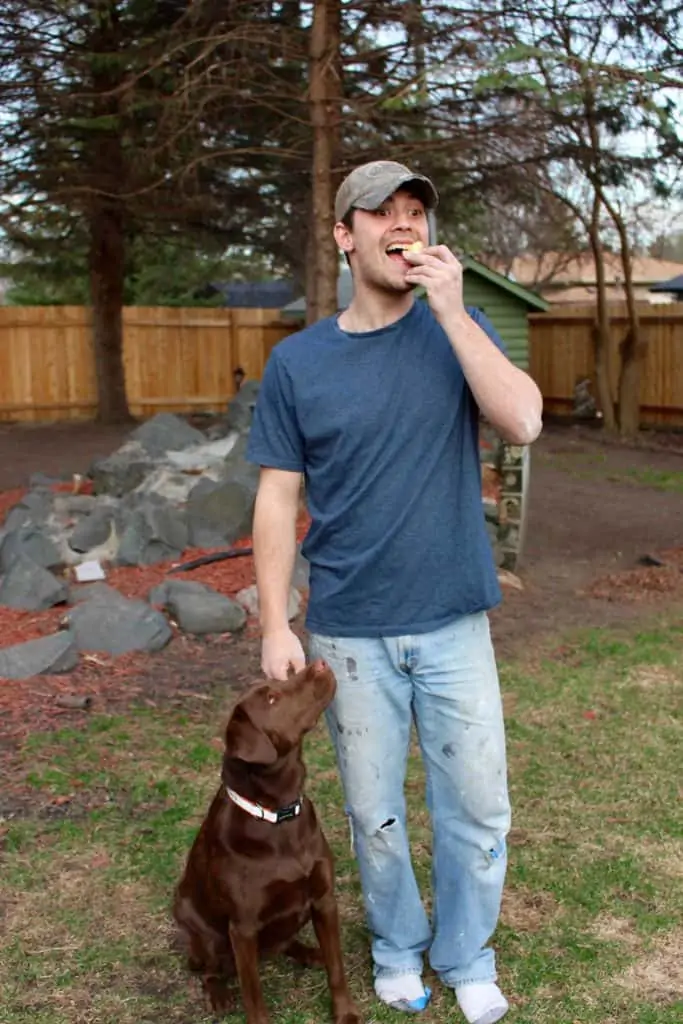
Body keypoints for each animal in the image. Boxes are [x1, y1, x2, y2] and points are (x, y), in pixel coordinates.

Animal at [174, 659, 360, 1019]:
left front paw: (345, 1013)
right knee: (210, 970)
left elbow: (337, 968)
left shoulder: (324, 899)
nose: (319, 664)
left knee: (287, 944)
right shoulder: (243, 928)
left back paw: (310, 953)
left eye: (281, 681)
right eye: (272, 699)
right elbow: (254, 997)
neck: (277, 815)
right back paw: (218, 995)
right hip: (195, 922)